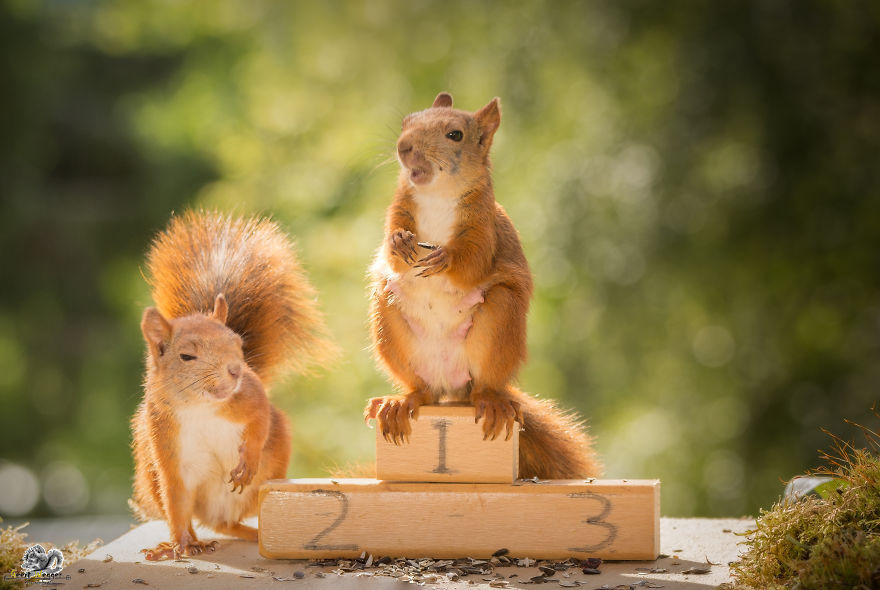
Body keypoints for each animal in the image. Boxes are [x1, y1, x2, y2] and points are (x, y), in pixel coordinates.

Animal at [130, 211, 333, 560]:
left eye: (238, 343)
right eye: (186, 356)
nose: (237, 370)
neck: (200, 407)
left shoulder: (250, 396)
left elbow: (261, 419)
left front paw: (247, 460)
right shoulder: (167, 442)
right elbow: (176, 502)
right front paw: (182, 544)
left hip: (263, 479)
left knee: (229, 522)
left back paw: (255, 532)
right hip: (151, 476)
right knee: (205, 519)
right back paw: (178, 544)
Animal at [364, 92, 601, 479]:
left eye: (455, 135)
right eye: (405, 122)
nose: (403, 147)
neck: (437, 196)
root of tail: (453, 388)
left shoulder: (484, 227)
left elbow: (472, 262)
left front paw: (445, 259)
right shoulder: (398, 209)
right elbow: (394, 250)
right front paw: (399, 242)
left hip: (499, 321)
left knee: (484, 385)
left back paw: (490, 401)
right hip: (388, 319)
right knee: (423, 391)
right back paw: (402, 402)